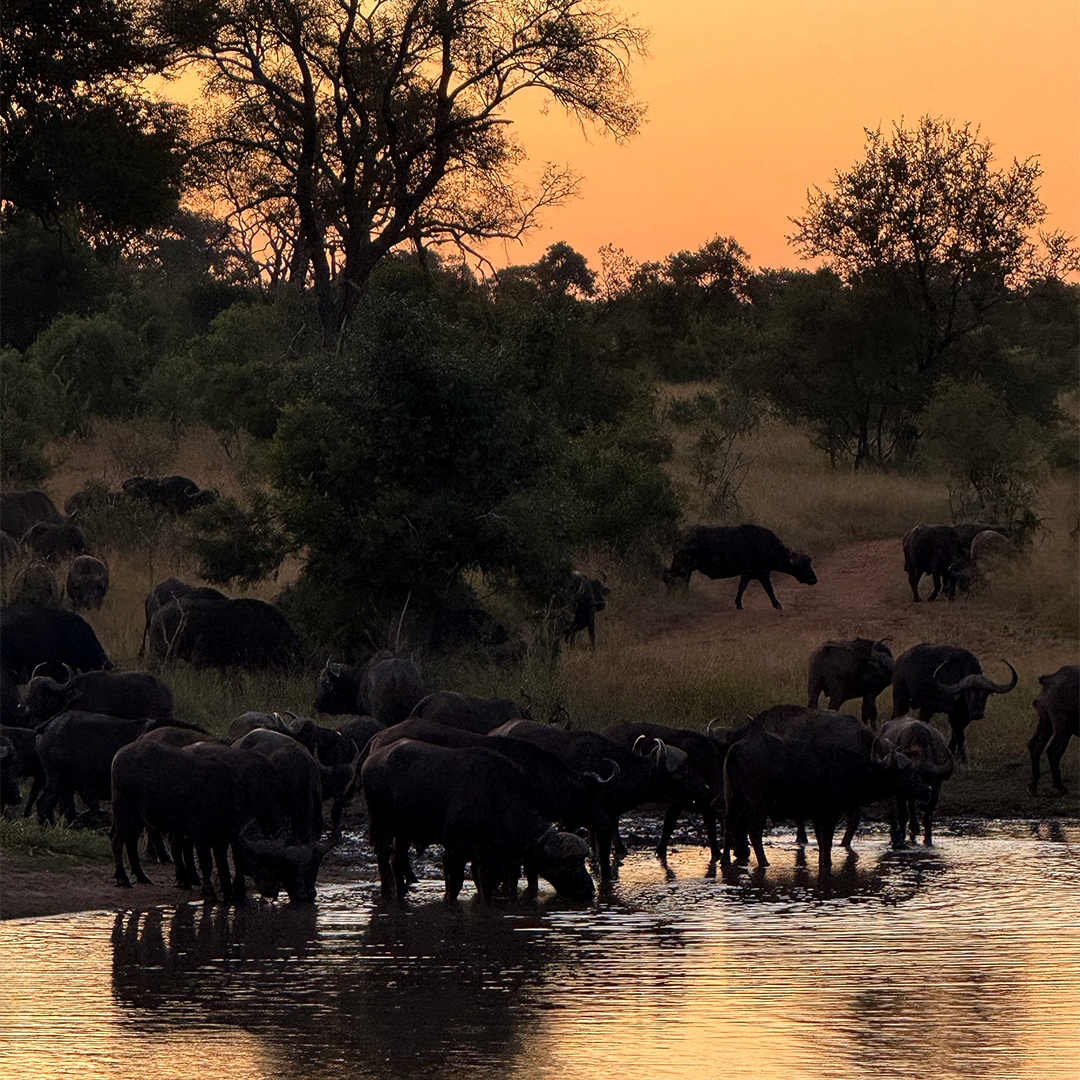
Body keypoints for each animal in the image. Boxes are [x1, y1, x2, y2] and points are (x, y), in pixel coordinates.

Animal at [664, 524, 816, 609]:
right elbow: (768, 589)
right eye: (803, 565)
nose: (814, 580)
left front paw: (738, 603)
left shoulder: (748, 574)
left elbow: (742, 588)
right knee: (669, 576)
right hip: (682, 565)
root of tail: (680, 536)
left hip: (687, 569)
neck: (765, 546)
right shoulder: (760, 573)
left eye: (809, 563)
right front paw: (777, 604)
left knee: (682, 580)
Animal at [1028, 665, 1079, 794]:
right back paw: (1060, 786)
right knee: (1053, 751)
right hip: (1063, 729)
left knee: (1035, 745)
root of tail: (1049, 680)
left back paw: (1033, 786)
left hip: (1045, 723)